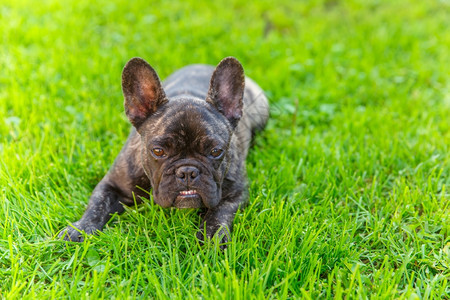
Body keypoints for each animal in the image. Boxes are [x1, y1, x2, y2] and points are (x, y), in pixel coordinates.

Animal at [59, 56, 270, 246]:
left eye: (216, 151)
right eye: (158, 151)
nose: (187, 172)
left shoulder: (236, 192)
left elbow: (220, 211)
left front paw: (213, 236)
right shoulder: (112, 184)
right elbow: (96, 205)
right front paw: (79, 229)